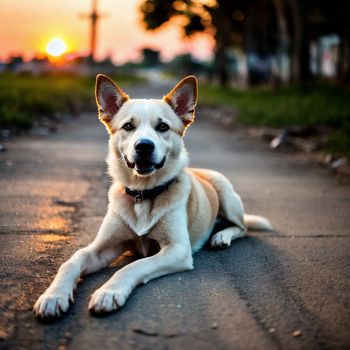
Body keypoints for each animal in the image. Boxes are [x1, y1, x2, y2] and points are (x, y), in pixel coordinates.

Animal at [32, 75, 272, 318]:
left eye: (163, 126)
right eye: (128, 126)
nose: (144, 146)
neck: (143, 194)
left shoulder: (177, 250)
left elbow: (133, 266)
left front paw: (109, 292)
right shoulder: (101, 248)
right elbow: (72, 261)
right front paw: (53, 296)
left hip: (225, 194)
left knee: (242, 228)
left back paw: (221, 236)